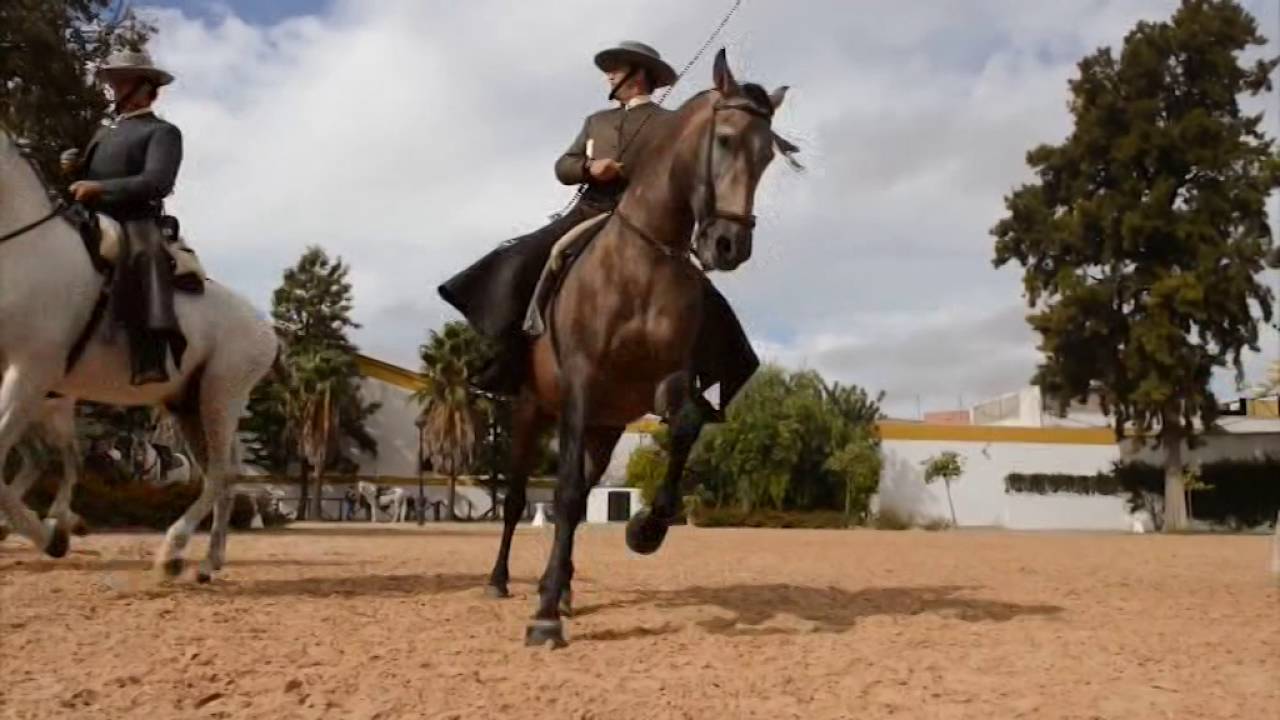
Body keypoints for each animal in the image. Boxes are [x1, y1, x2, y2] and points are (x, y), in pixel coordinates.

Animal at [0, 127, 278, 581]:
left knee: (220, 475)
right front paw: (49, 531)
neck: (25, 251)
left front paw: (51, 536)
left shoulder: (29, 374)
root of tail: (266, 328)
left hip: (220, 397)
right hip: (188, 406)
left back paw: (172, 551)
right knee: (219, 477)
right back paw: (207, 563)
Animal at [482, 50, 792, 647]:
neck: (642, 262)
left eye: (768, 155)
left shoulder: (666, 380)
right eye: (723, 139)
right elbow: (558, 496)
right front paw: (544, 615)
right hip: (533, 410)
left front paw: (646, 529)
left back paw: (565, 585)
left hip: (605, 430)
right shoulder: (580, 386)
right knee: (516, 500)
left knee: (580, 497)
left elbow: (686, 426)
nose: (729, 245)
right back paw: (502, 581)